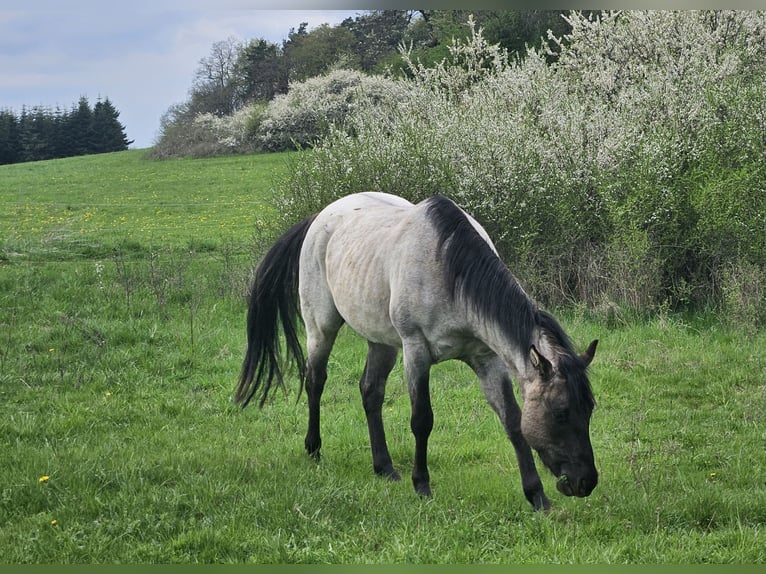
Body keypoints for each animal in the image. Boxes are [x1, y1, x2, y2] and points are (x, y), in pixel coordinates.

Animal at [235, 192, 598, 510]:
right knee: (315, 380)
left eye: (589, 409)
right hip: (321, 327)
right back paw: (313, 449)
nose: (586, 482)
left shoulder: (486, 358)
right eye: (561, 413)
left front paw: (537, 496)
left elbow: (512, 420)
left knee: (371, 392)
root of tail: (320, 217)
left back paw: (384, 467)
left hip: (381, 341)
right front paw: (422, 485)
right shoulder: (416, 351)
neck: (449, 271)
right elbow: (422, 419)